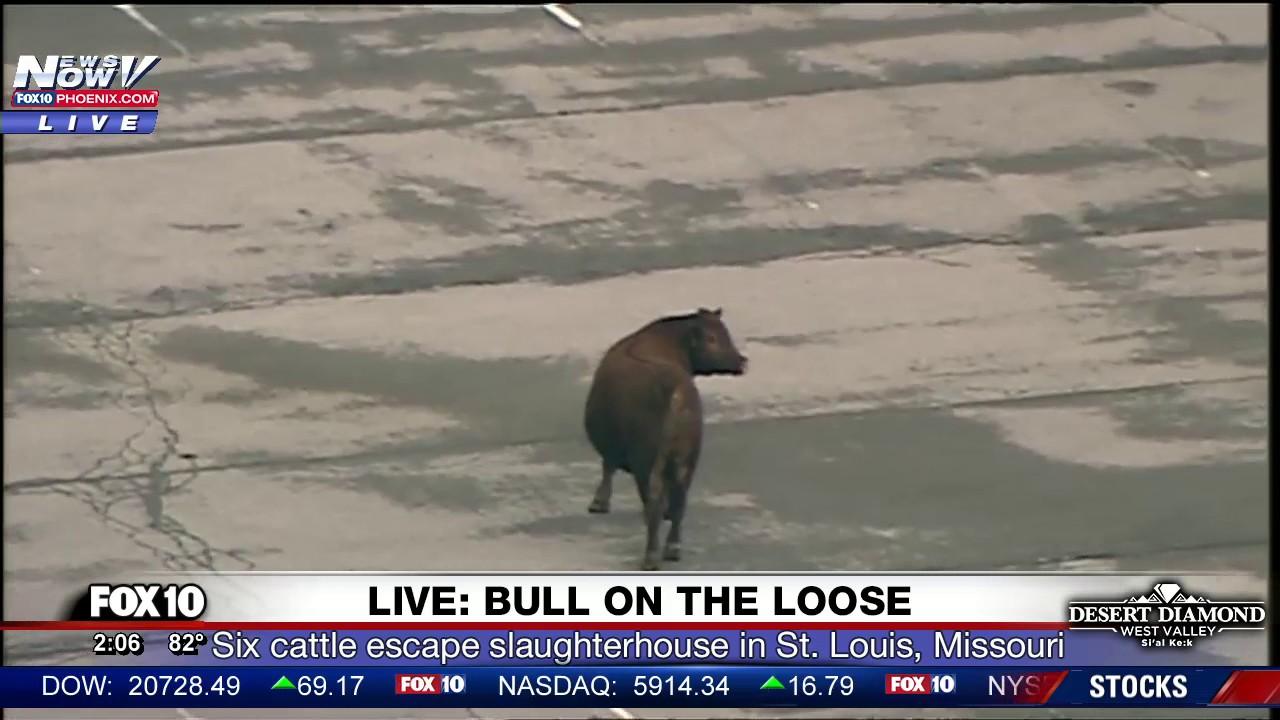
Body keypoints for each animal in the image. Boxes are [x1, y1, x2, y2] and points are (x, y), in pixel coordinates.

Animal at [583, 307, 749, 570]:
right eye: (712, 338)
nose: (742, 361)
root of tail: (675, 391)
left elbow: (607, 465)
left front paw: (599, 502)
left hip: (647, 461)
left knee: (653, 502)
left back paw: (651, 556)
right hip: (687, 460)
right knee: (680, 499)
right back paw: (672, 548)